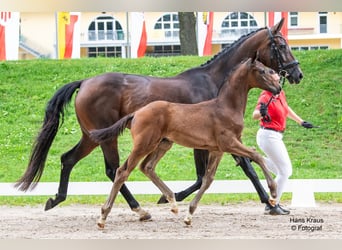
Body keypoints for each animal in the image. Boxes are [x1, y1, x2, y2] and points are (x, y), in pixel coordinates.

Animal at [14, 18, 302, 220]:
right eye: (282, 45)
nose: (296, 74)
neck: (215, 82)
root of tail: (84, 82)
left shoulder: (214, 140)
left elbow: (231, 169)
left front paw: (274, 204)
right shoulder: (212, 139)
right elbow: (232, 170)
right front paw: (271, 203)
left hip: (92, 136)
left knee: (69, 159)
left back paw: (55, 199)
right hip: (107, 137)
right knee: (114, 169)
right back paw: (138, 210)